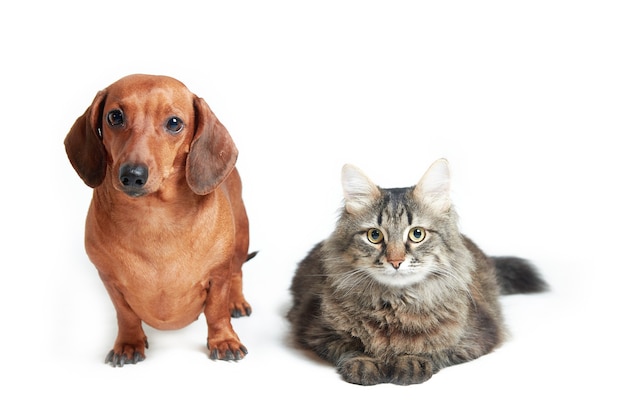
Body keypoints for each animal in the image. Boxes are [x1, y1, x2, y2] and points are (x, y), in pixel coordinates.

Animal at [64, 73, 254, 366]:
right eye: (114, 116)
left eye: (174, 123)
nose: (132, 174)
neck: (154, 217)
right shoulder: (109, 280)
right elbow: (126, 315)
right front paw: (128, 343)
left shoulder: (218, 275)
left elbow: (216, 310)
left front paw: (224, 340)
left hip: (242, 235)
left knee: (238, 271)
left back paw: (237, 301)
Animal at [286, 158, 544, 386]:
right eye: (374, 235)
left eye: (417, 234)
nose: (395, 261)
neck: (394, 305)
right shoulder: (315, 330)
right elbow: (350, 347)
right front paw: (365, 363)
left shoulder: (480, 335)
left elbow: (435, 348)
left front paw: (409, 362)